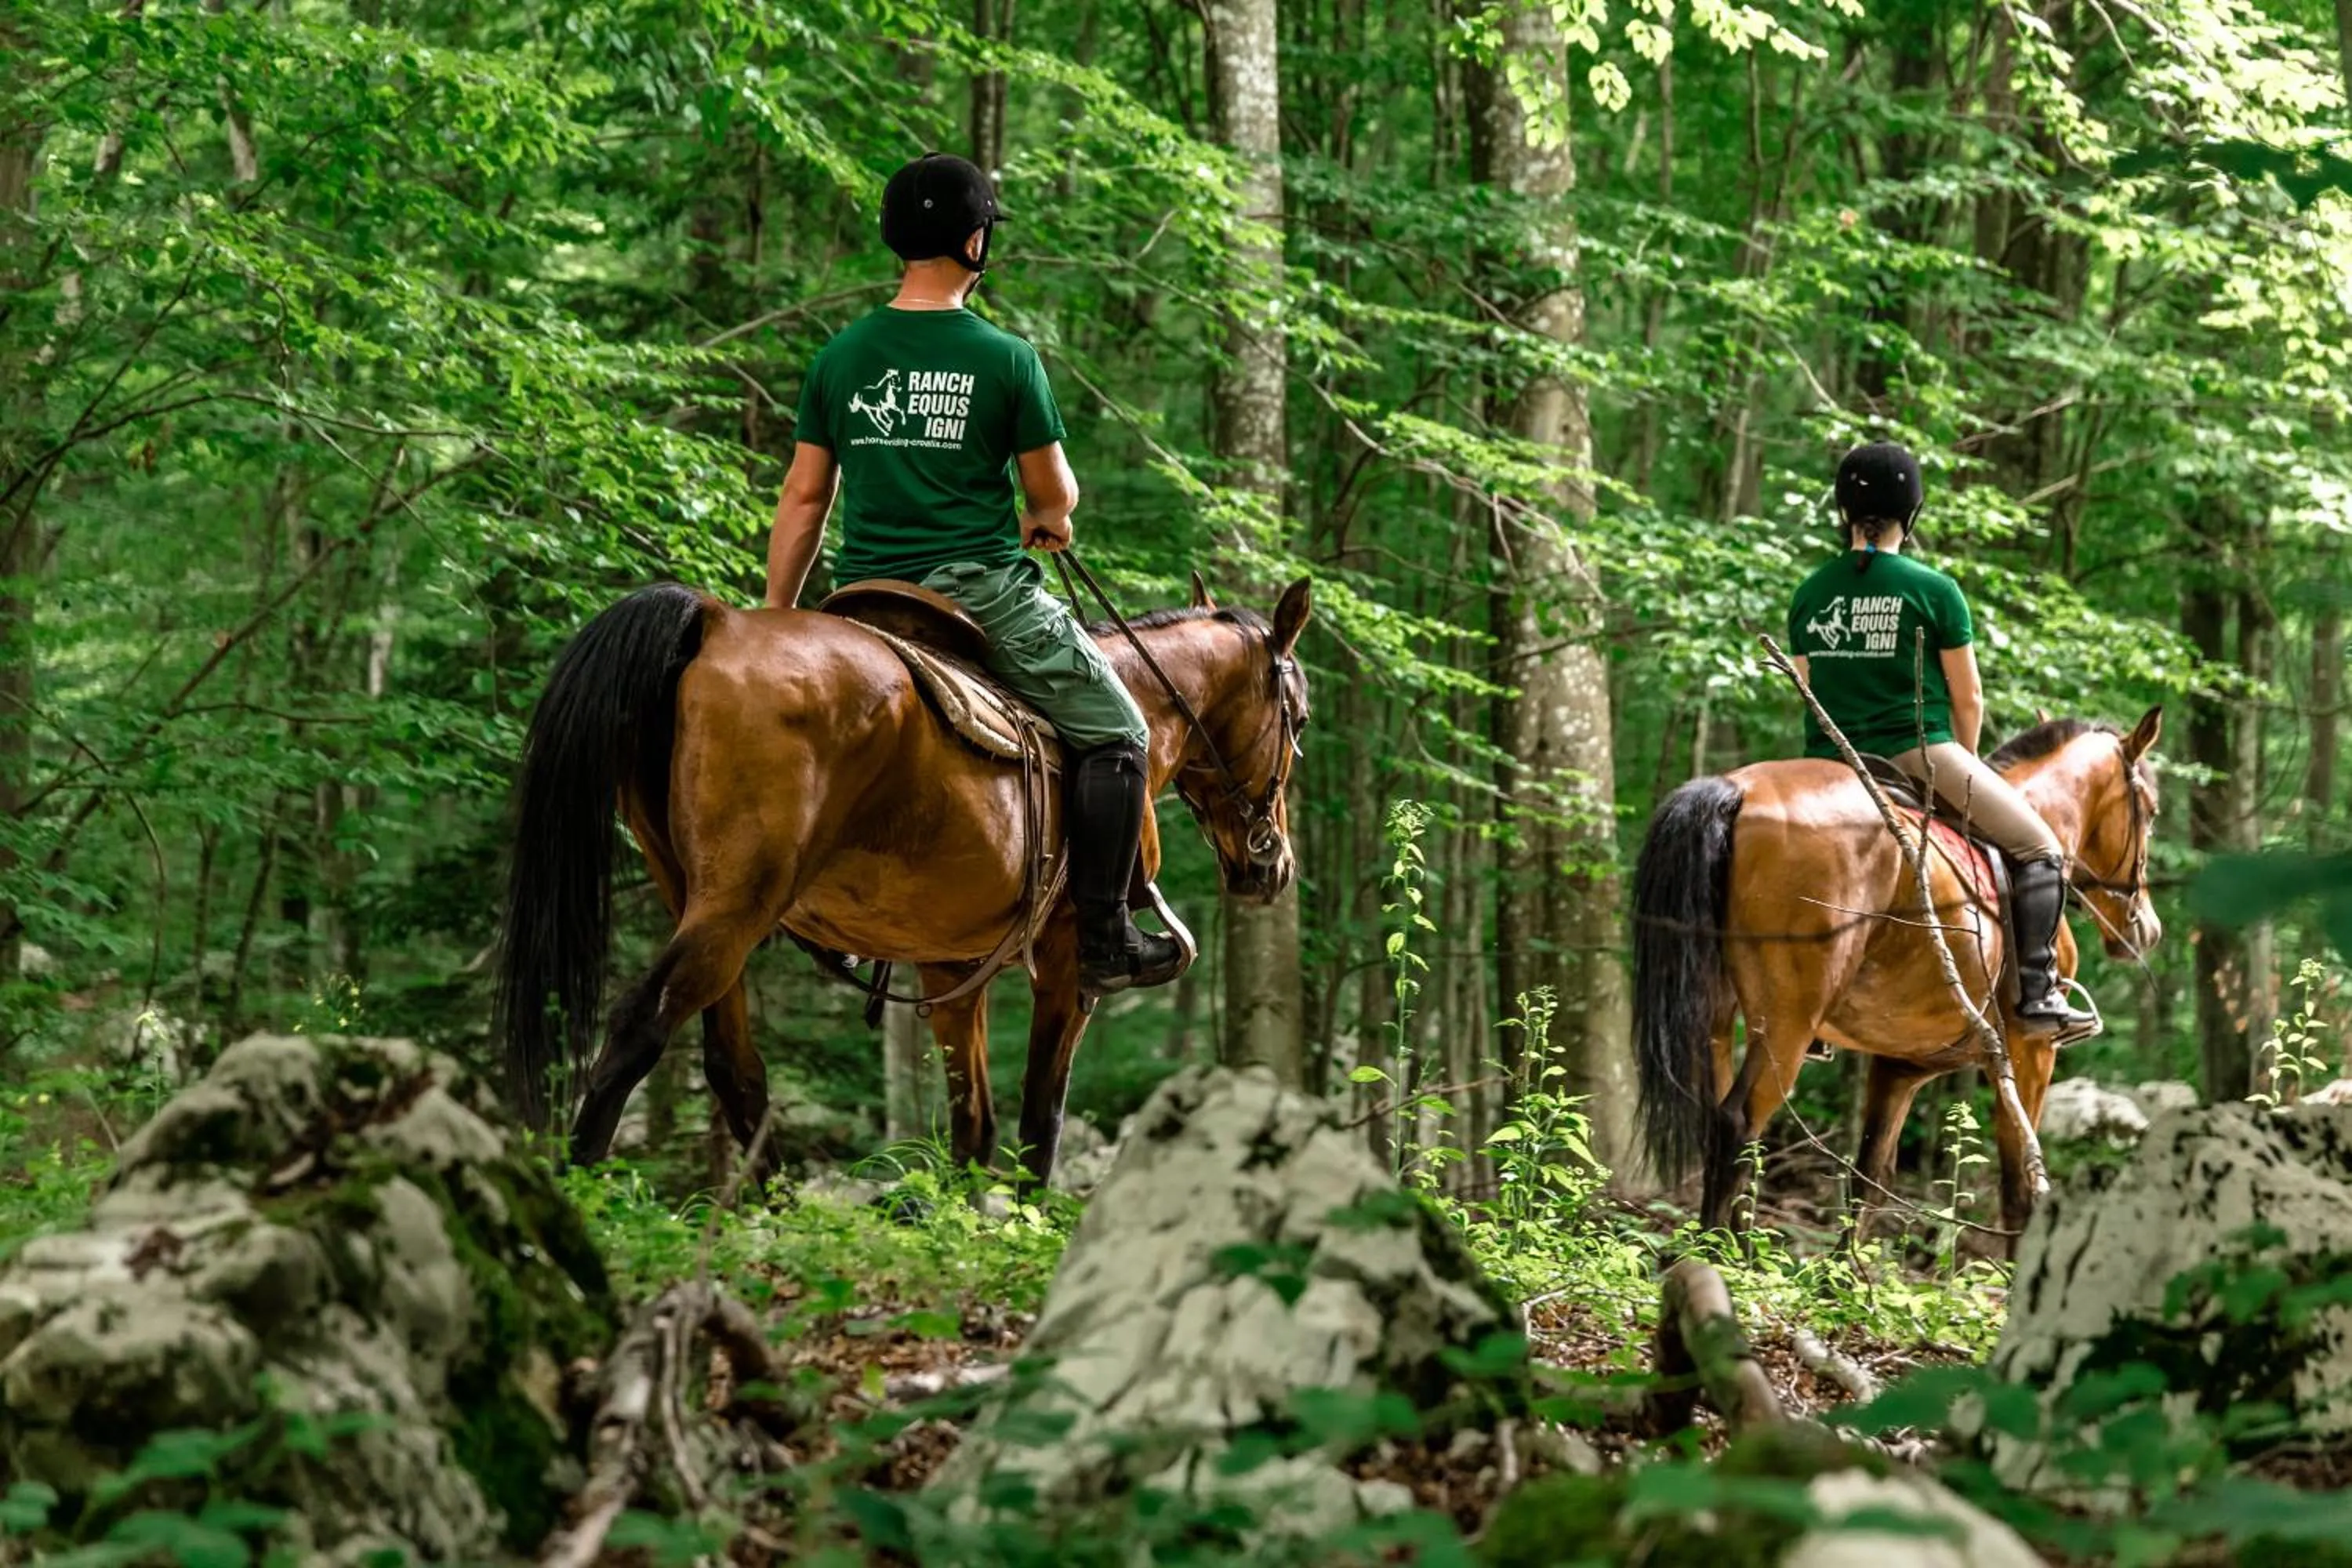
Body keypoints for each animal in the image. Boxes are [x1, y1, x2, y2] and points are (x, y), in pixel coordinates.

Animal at [494, 573, 1313, 1186]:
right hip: (736, 903)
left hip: (692, 898)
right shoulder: (1069, 961)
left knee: (732, 1065)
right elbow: (1039, 1119)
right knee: (640, 1026)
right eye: (1298, 718)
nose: (1271, 864)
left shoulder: (950, 968)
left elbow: (973, 1124)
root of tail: (719, 623)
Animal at [1630, 708, 2163, 1240]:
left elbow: (1868, 1180)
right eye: (2152, 812)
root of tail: (1738, 789)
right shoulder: (2030, 1054)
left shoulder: (1901, 1066)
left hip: (1718, 1014)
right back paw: (1717, 1256)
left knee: (1723, 1123)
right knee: (1738, 1124)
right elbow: (2021, 1194)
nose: (2148, 929)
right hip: (1787, 1021)